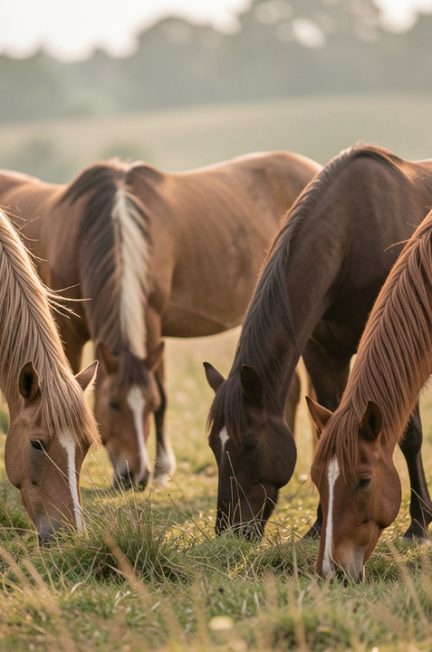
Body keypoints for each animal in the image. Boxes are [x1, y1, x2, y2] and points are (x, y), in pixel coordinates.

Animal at [0, 151, 320, 488]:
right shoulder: (70, 332)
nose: (133, 476)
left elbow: (164, 393)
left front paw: (163, 469)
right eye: (112, 404)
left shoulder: (151, 323)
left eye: (148, 405)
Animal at [204, 144, 432, 540]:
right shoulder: (322, 354)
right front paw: (318, 524)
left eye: (250, 443)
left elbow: (411, 435)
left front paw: (419, 524)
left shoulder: (402, 346)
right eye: (213, 445)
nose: (229, 530)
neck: (353, 236)